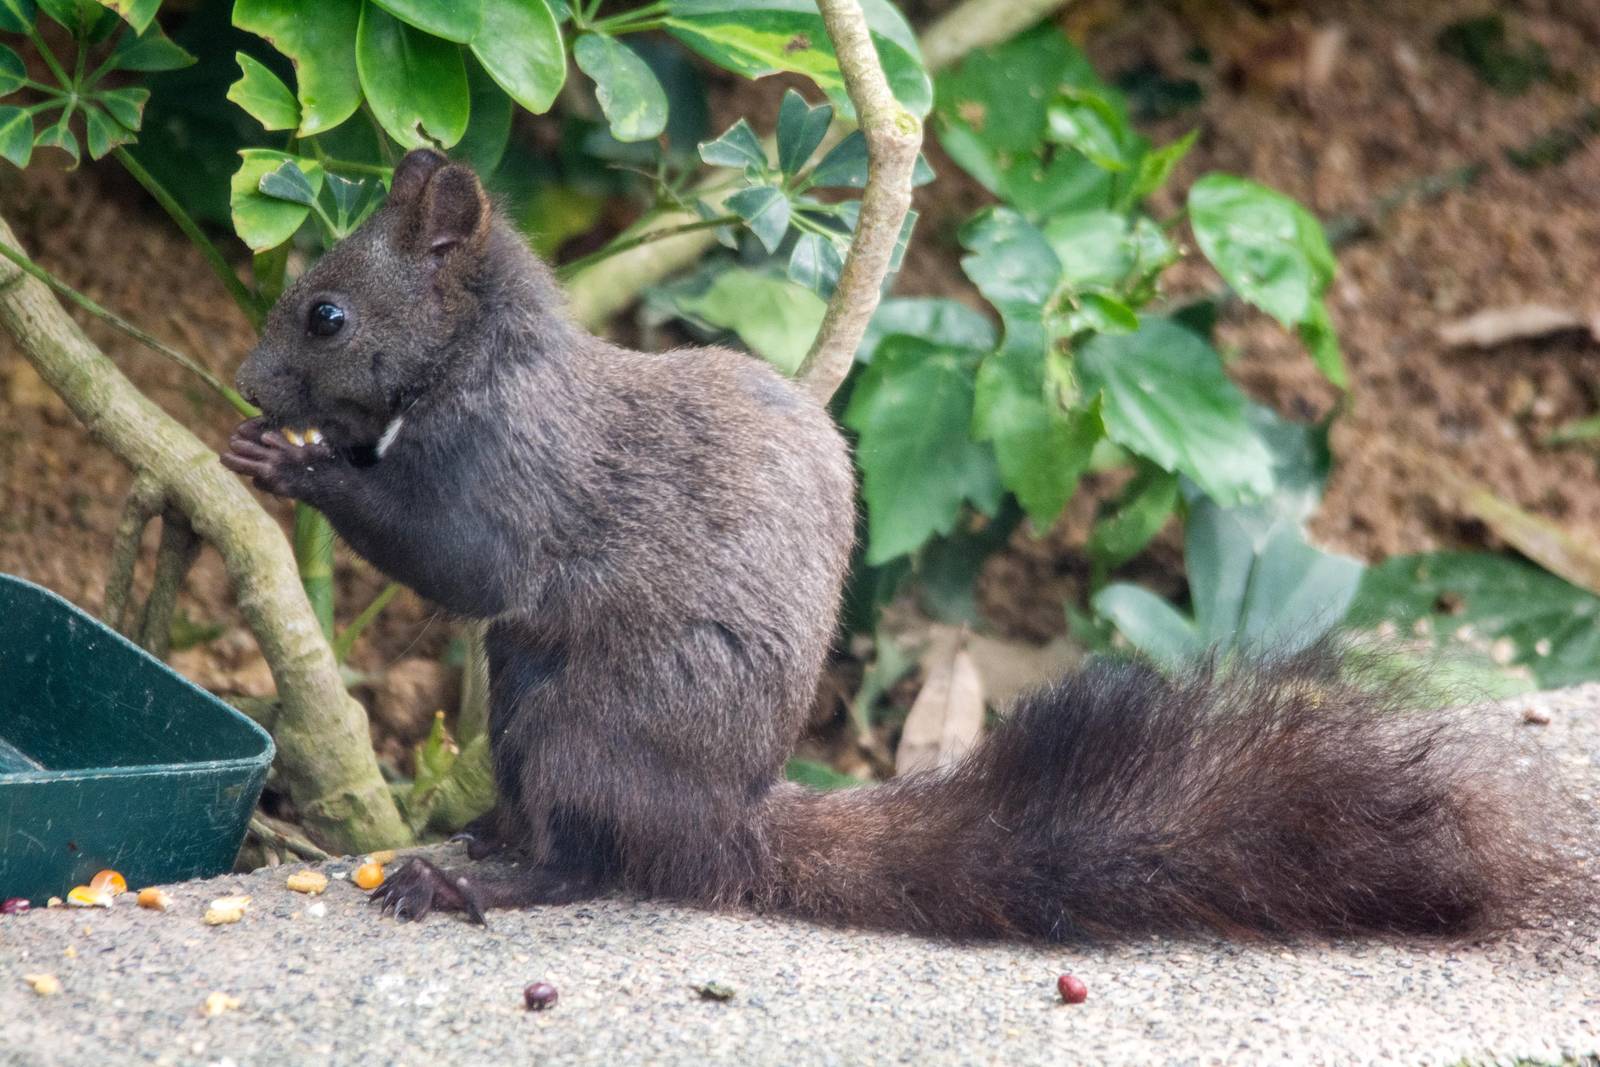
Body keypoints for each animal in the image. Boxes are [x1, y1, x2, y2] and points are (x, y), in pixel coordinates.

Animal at [223, 148, 1589, 941]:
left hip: (587, 723)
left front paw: (291, 466)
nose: (243, 378)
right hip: (522, 697)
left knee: (594, 864)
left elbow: (454, 556)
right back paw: (488, 837)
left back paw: (479, 879)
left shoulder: (513, 469)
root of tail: (725, 823)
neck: (478, 363)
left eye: (326, 313)